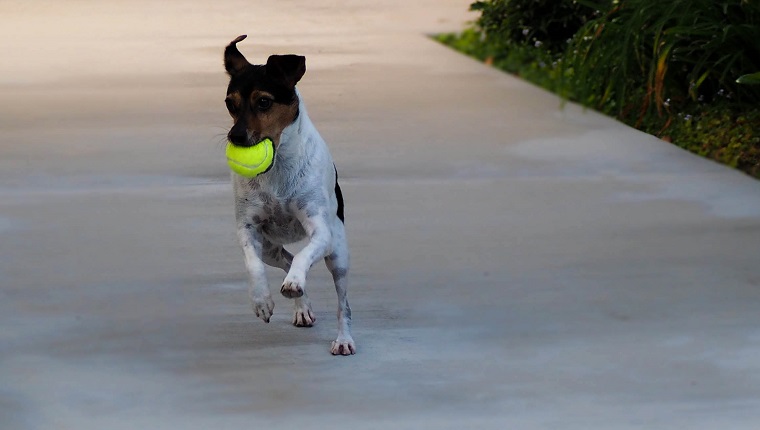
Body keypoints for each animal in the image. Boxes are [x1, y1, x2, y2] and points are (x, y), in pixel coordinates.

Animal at [223, 34, 356, 356]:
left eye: (264, 102)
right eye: (230, 104)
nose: (235, 137)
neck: (277, 170)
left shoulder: (320, 231)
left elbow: (304, 258)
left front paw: (295, 282)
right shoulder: (247, 230)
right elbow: (253, 265)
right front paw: (261, 300)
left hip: (338, 254)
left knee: (342, 304)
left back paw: (343, 339)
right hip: (270, 248)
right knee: (285, 257)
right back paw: (302, 307)